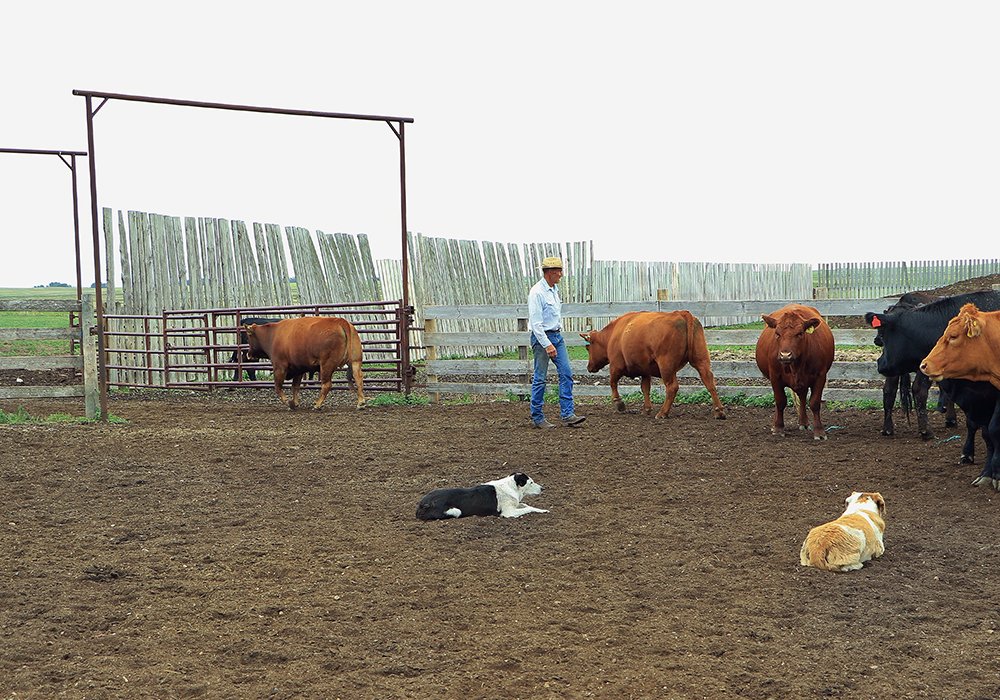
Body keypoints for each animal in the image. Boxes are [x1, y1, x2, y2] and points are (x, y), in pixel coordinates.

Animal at [418, 470, 552, 520]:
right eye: (531, 482)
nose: (543, 488)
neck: (511, 487)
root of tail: (422, 504)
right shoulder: (508, 512)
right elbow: (527, 508)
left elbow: (526, 505)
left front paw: (542, 510)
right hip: (456, 511)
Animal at [580, 314, 728, 422]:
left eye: (588, 347)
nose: (589, 367)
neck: (614, 334)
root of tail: (683, 314)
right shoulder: (645, 371)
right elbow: (645, 388)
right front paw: (646, 409)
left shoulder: (616, 365)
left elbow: (612, 382)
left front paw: (619, 403)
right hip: (701, 359)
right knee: (709, 382)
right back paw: (719, 411)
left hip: (666, 366)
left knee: (672, 387)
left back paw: (662, 413)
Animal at [756, 304, 836, 440]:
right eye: (777, 333)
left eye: (800, 333)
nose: (785, 355)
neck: (796, 366)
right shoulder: (775, 377)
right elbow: (780, 401)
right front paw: (778, 428)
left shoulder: (820, 376)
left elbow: (814, 403)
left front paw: (819, 431)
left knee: (802, 397)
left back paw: (803, 422)